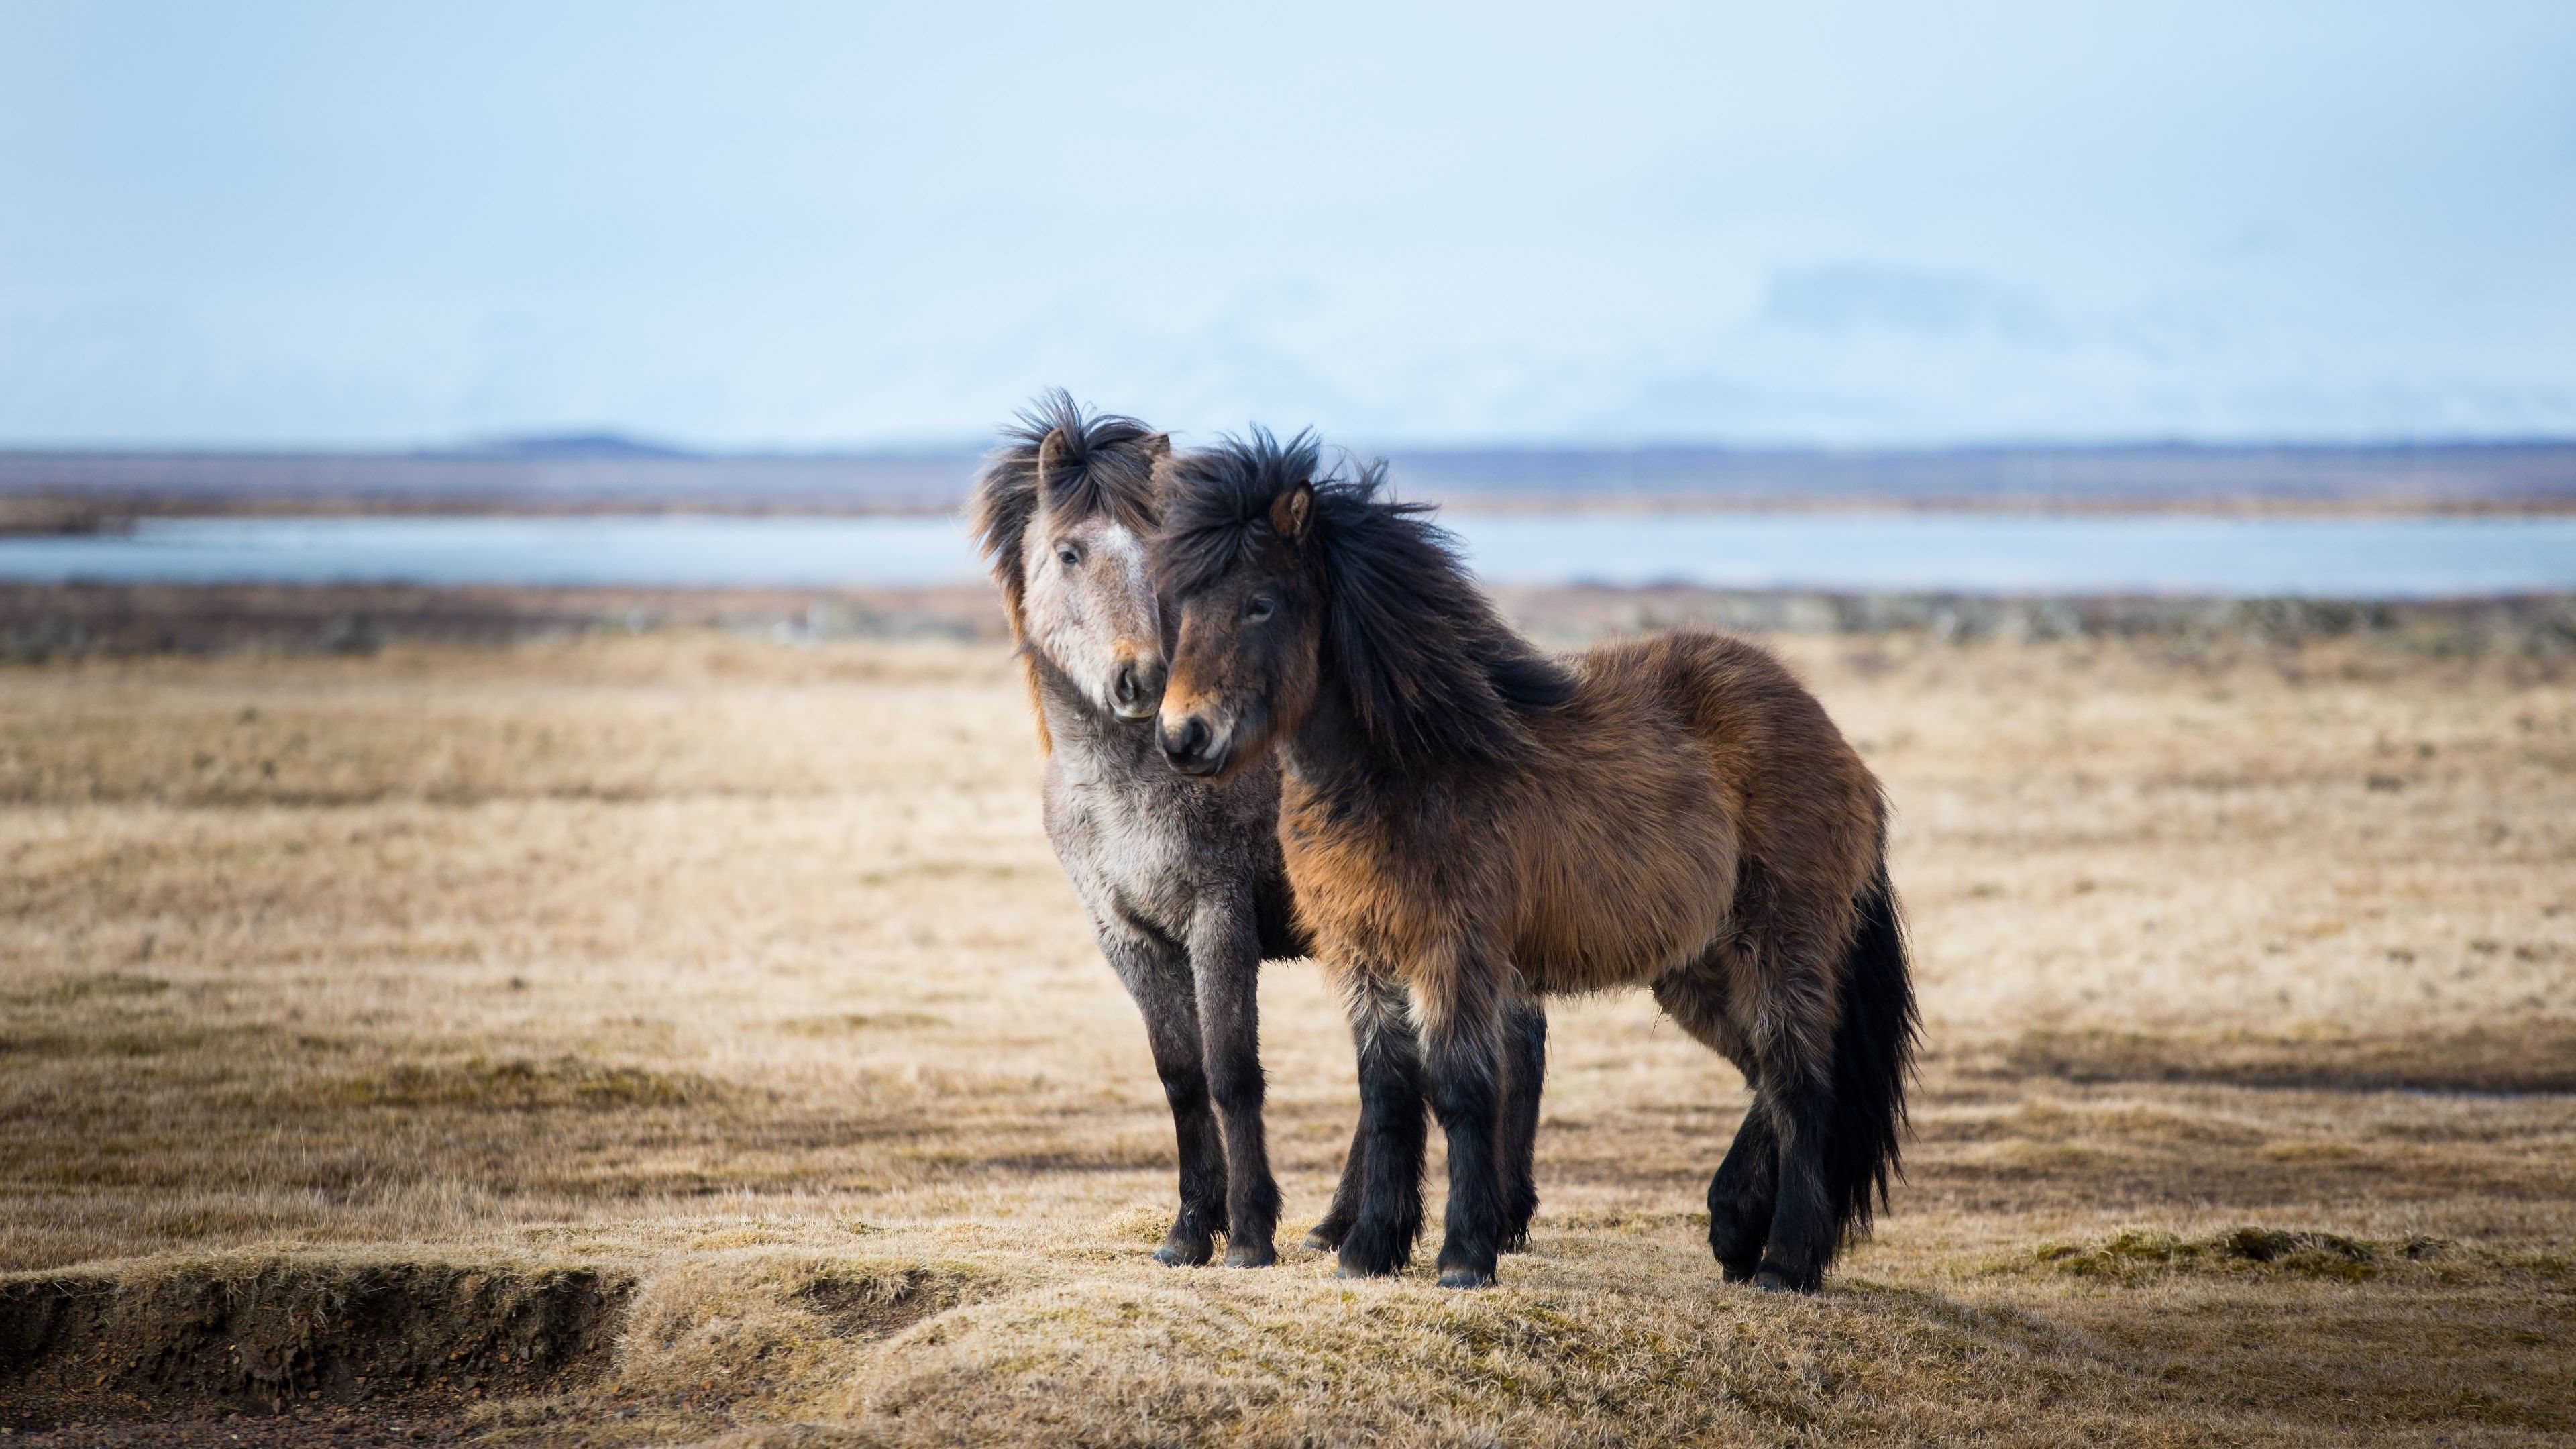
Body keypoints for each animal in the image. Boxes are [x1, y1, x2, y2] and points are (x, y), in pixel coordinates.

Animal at [969, 392, 1349, 1268]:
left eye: (1159, 553)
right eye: (1069, 553)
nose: (1140, 677)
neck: (1128, 783)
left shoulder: (1218, 919)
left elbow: (1232, 1070)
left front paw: (1250, 1234)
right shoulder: (1127, 936)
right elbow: (1180, 1076)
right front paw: (1187, 1232)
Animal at [1149, 430, 1918, 1292]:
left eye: (1261, 602)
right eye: (1183, 604)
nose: (1183, 738)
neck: (1411, 765)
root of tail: (1839, 746)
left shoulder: (1454, 953)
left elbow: (1458, 1091)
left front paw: (1463, 1256)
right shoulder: (1362, 957)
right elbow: (1386, 1097)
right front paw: (1371, 1249)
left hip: (1779, 947)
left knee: (1801, 1085)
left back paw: (1784, 1261)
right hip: (1697, 968)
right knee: (1771, 1080)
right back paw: (1733, 1228)